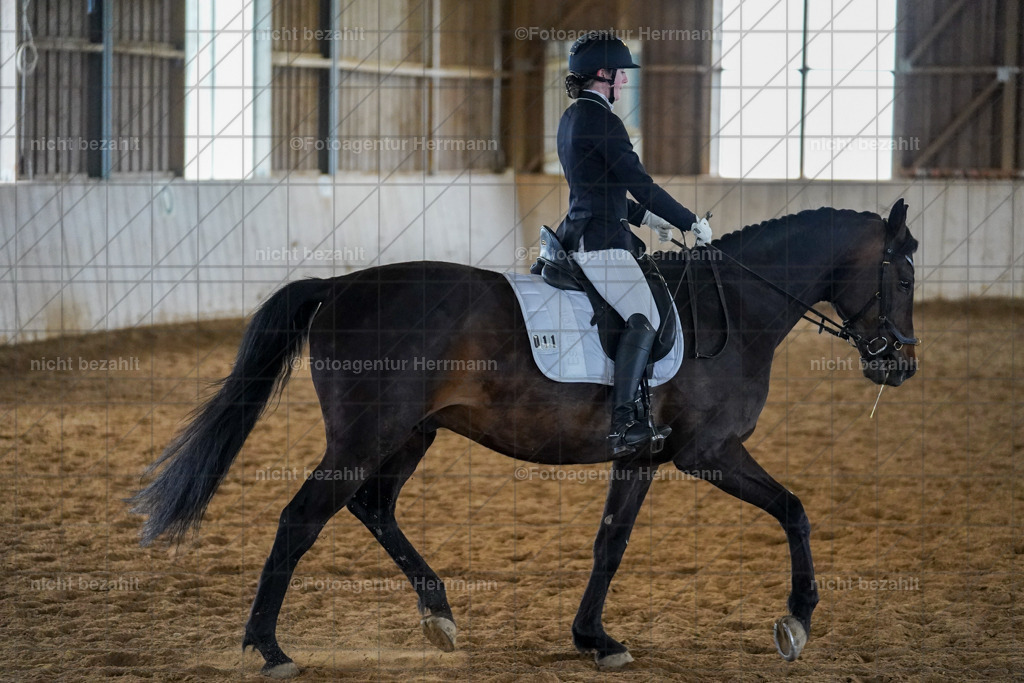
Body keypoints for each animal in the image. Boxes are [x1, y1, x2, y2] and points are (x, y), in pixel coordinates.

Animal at [130, 199, 919, 678]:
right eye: (905, 273)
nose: (901, 363)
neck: (739, 309)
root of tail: (340, 286)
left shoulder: (643, 453)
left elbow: (610, 543)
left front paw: (594, 638)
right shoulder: (709, 454)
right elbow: (795, 510)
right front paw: (796, 621)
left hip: (410, 433)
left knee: (373, 506)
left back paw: (439, 613)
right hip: (365, 436)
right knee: (301, 519)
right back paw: (270, 648)